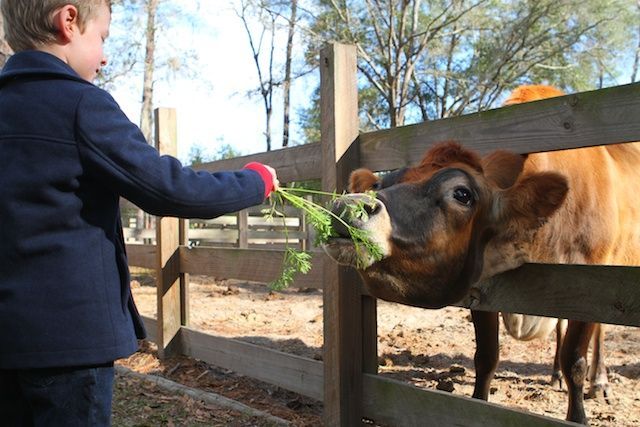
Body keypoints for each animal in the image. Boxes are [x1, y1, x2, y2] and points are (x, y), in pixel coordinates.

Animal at [323, 85, 640, 424]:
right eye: (381, 184)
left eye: (462, 193)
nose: (346, 207)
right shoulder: (483, 286)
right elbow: (486, 356)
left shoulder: (591, 280)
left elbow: (575, 361)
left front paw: (578, 415)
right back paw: (554, 374)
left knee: (599, 332)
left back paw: (600, 382)